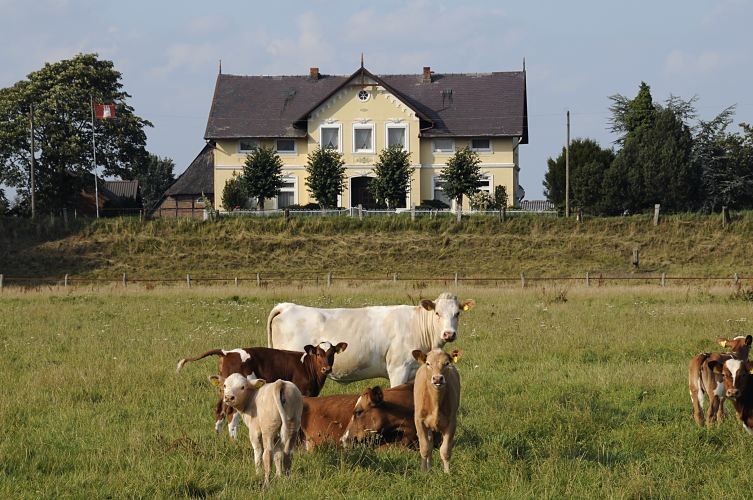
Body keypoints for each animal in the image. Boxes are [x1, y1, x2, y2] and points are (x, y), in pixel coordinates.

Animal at [178, 344, 348, 438]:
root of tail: (228, 352)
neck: (307, 366)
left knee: (219, 409)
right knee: (231, 412)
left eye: (332, 353)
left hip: (224, 389)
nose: (327, 368)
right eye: (318, 353)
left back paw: (218, 435)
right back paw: (233, 440)